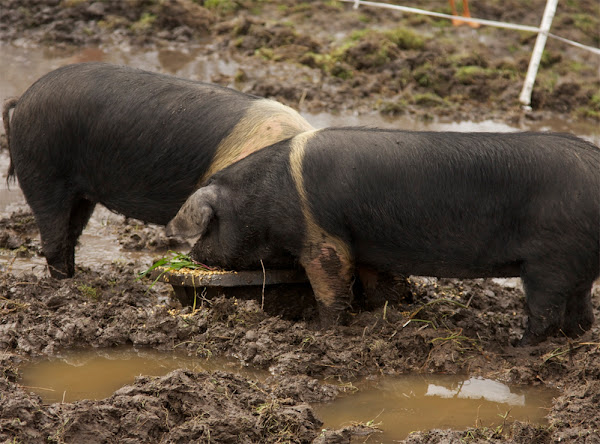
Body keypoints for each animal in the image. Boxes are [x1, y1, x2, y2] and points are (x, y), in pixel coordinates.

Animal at [3, 62, 314, 278]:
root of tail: (23, 99)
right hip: (42, 172)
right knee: (53, 238)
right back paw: (65, 286)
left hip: (80, 193)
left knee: (71, 234)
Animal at [168, 126, 600, 346]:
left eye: (211, 223)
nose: (195, 254)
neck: (266, 194)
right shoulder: (368, 247)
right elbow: (377, 283)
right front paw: (385, 315)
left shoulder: (324, 239)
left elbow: (330, 284)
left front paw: (324, 332)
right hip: (576, 263)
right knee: (581, 309)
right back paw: (576, 340)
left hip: (550, 261)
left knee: (545, 310)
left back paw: (517, 347)